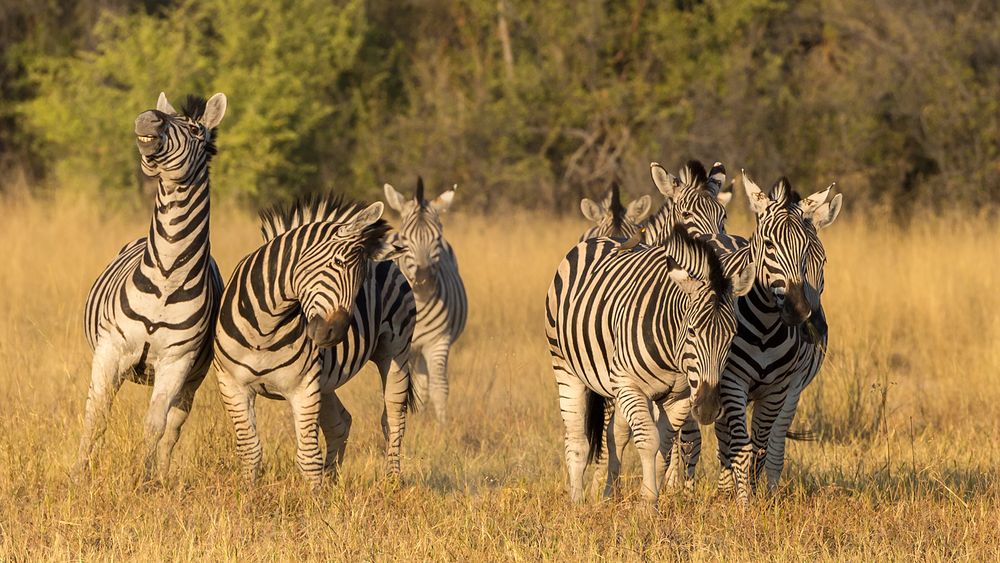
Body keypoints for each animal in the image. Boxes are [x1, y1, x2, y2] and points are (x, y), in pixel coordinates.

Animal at [77, 91, 228, 480]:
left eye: (195, 130)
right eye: (163, 116)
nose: (148, 118)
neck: (166, 275)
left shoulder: (177, 361)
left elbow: (156, 426)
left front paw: (144, 480)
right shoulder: (110, 350)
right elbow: (95, 417)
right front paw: (78, 475)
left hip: (193, 376)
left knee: (174, 425)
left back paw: (161, 476)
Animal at [213, 196, 416, 486]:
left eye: (363, 279)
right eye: (338, 262)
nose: (336, 334)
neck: (265, 329)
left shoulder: (304, 387)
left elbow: (308, 457)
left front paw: (314, 498)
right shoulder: (231, 384)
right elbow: (250, 449)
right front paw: (248, 492)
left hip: (396, 350)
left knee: (393, 419)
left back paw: (392, 483)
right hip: (327, 379)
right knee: (340, 423)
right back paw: (332, 482)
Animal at [382, 177, 468, 424]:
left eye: (437, 238)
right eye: (405, 239)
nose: (424, 277)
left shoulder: (438, 341)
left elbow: (439, 386)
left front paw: (442, 427)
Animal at [544, 226, 752, 506]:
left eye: (732, 335)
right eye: (692, 331)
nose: (708, 409)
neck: (673, 354)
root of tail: (605, 238)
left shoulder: (681, 396)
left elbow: (662, 446)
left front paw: (650, 499)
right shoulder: (630, 384)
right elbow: (648, 441)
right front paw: (646, 504)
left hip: (617, 385)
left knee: (615, 435)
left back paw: (609, 495)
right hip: (567, 368)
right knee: (577, 440)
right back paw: (577, 502)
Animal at [712, 171, 844, 502]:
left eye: (820, 260)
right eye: (769, 245)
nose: (802, 314)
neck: (765, 326)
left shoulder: (782, 387)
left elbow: (763, 447)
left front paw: (760, 495)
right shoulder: (732, 381)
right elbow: (741, 446)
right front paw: (742, 503)